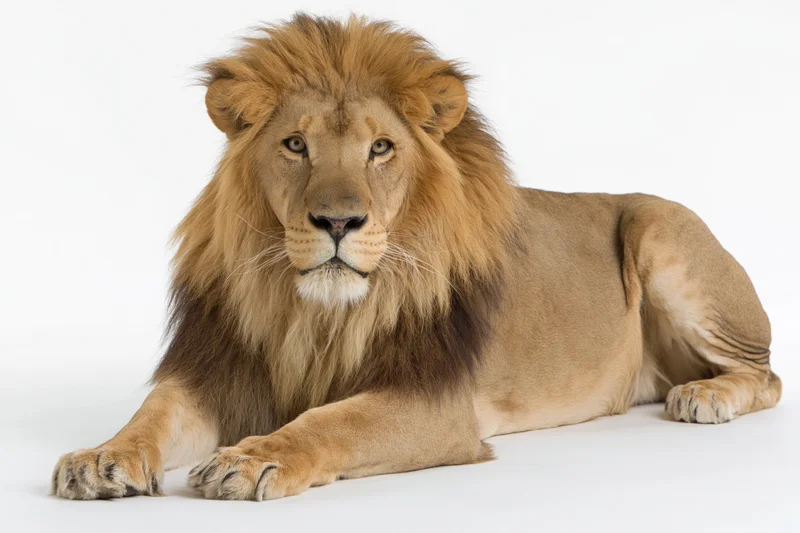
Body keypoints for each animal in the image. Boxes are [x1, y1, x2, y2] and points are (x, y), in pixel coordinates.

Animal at [52, 14, 781, 501]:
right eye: (295, 145)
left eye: (380, 148)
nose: (338, 221)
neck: (315, 313)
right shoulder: (222, 373)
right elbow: (152, 413)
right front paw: (99, 457)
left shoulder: (435, 400)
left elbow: (334, 419)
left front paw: (255, 457)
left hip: (660, 228)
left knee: (766, 375)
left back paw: (703, 396)